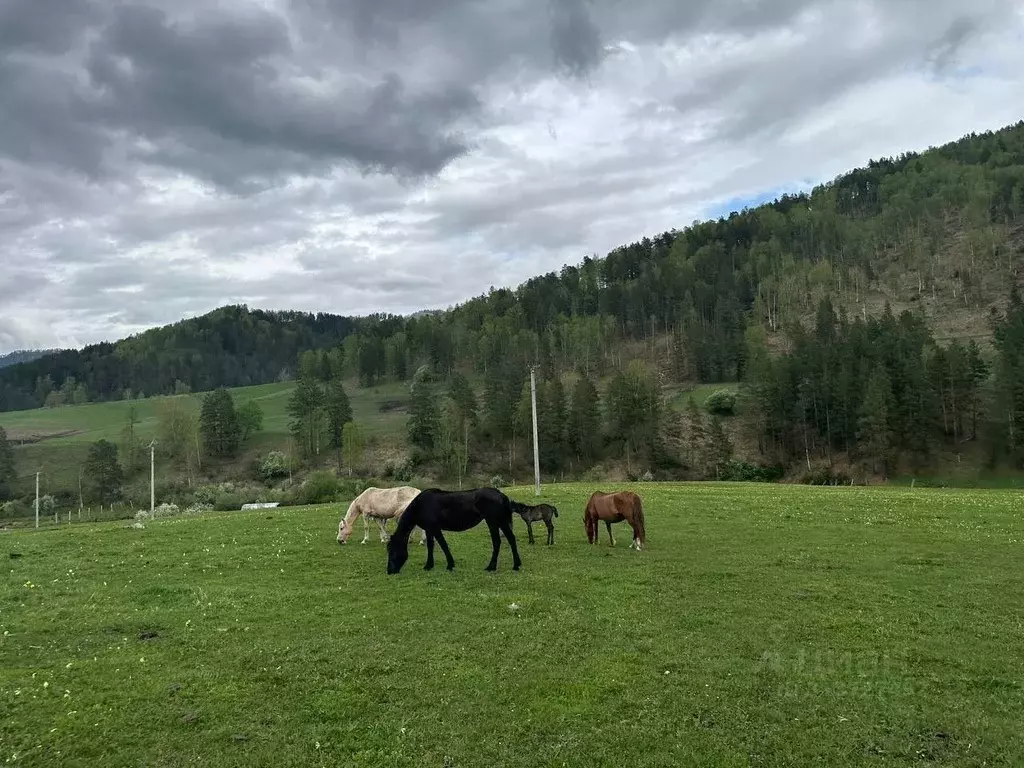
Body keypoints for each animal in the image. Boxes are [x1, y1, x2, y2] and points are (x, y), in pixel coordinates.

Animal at [387, 489, 524, 573]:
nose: (390, 571)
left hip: (493, 521)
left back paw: (491, 567)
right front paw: (429, 565)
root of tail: (501, 495)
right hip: (500, 522)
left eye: (392, 552)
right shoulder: (429, 530)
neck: (421, 505)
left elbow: (443, 545)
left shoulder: (435, 528)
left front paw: (450, 564)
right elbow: (430, 546)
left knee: (497, 542)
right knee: (511, 539)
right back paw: (516, 565)